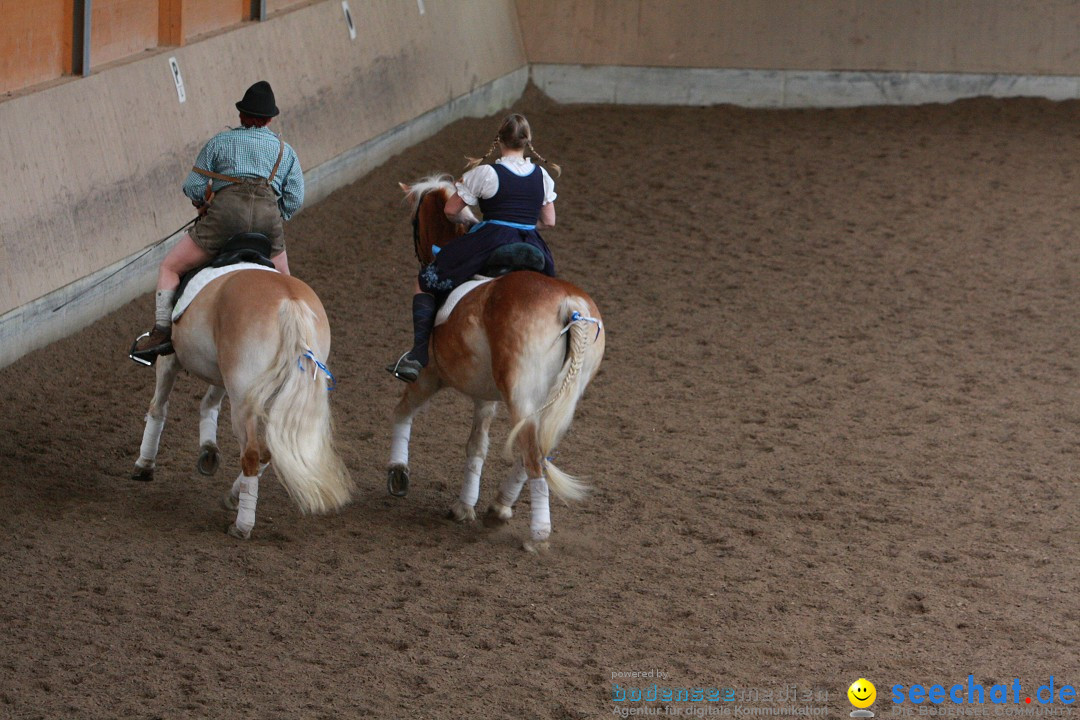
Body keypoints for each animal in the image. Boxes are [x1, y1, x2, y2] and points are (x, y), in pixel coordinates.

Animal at [130, 267, 349, 537]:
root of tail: (289, 303)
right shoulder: (222, 373)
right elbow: (210, 402)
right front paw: (208, 451)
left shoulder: (171, 358)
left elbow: (158, 406)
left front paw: (144, 464)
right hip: (265, 392)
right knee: (268, 450)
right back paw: (233, 498)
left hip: (243, 398)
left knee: (252, 453)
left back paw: (242, 526)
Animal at [390, 175, 609, 552]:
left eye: (414, 223)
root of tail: (570, 305)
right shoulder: (485, 394)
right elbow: (476, 446)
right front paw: (465, 506)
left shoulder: (430, 375)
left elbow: (403, 412)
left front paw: (398, 473)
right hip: (564, 395)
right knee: (539, 448)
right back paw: (499, 507)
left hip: (521, 393)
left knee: (532, 453)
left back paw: (537, 535)